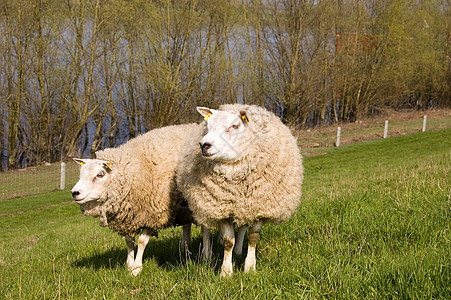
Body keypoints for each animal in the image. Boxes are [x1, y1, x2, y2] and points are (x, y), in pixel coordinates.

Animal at [71, 123, 199, 276]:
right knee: (186, 226)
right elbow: (129, 241)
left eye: (100, 174)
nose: (74, 193)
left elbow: (141, 241)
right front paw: (129, 265)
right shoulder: (129, 218)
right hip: (184, 209)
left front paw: (137, 268)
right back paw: (185, 251)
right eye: (81, 174)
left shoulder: (152, 214)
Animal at [177, 103, 304, 276]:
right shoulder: (221, 208)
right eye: (207, 126)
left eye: (234, 126)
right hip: (204, 203)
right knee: (206, 228)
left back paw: (238, 251)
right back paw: (207, 256)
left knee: (243, 227)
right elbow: (228, 241)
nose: (204, 145)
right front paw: (226, 272)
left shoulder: (260, 208)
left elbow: (253, 237)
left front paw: (249, 267)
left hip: (244, 207)